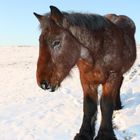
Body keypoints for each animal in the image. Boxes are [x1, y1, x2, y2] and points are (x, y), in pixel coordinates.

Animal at [33, 5, 136, 140]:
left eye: (56, 42)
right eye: (39, 41)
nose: (43, 83)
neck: (98, 51)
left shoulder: (112, 77)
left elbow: (105, 105)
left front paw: (105, 134)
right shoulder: (86, 79)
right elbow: (89, 106)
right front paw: (84, 133)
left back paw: (117, 105)